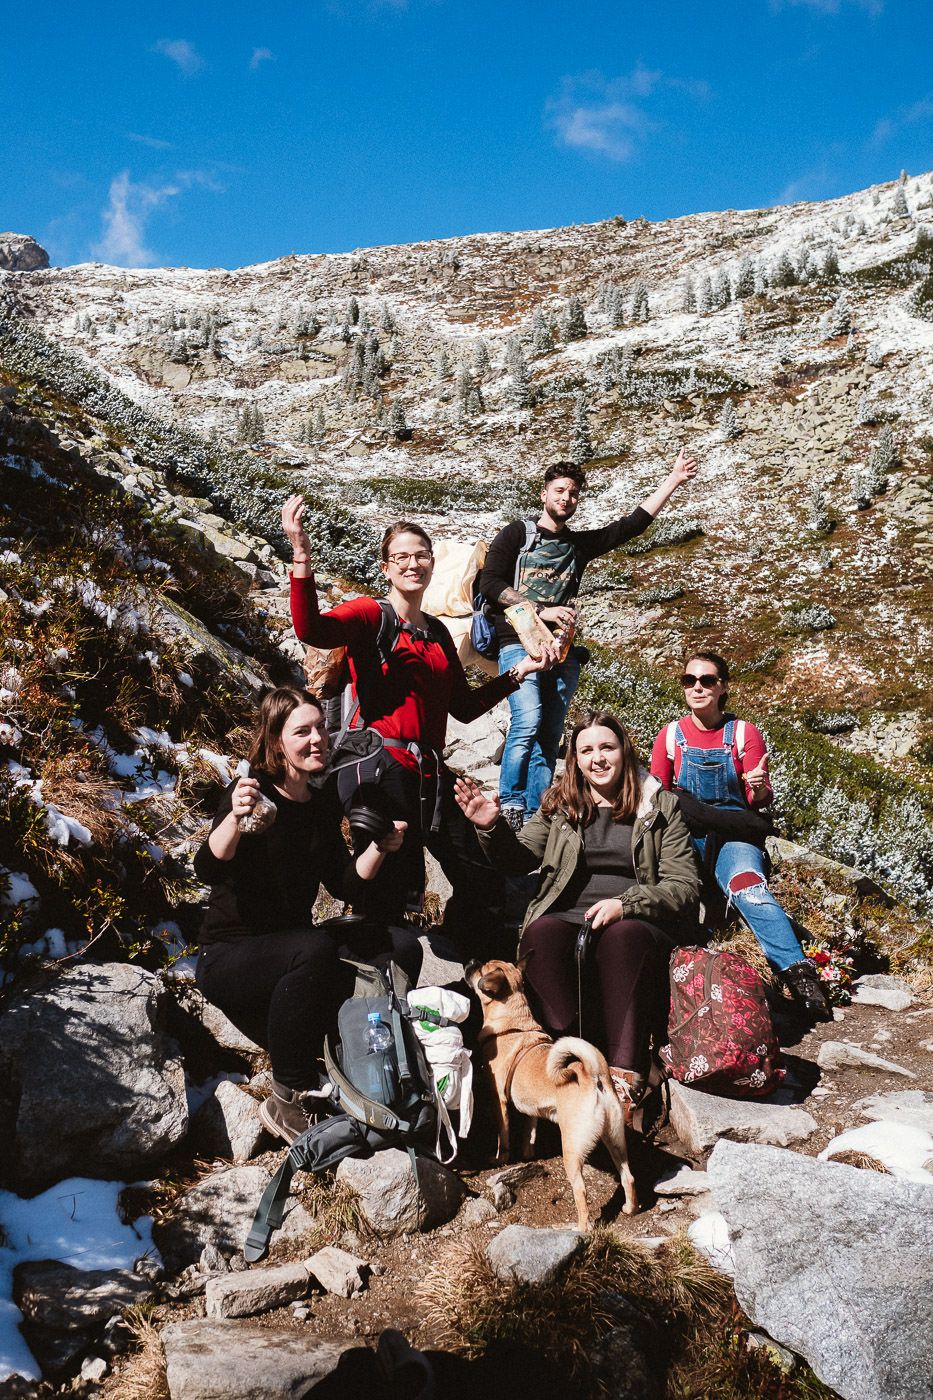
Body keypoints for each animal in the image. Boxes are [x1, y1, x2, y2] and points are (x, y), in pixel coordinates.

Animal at [462, 957, 633, 1232]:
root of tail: (593, 1076)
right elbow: (529, 1132)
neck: (514, 1026)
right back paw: (630, 1208)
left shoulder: (499, 1101)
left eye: (480, 970)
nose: (471, 960)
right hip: (615, 1139)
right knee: (628, 1176)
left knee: (581, 1190)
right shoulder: (531, 1110)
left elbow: (503, 1135)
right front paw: (528, 1153)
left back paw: (581, 1228)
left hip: (572, 1149)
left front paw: (500, 1158)